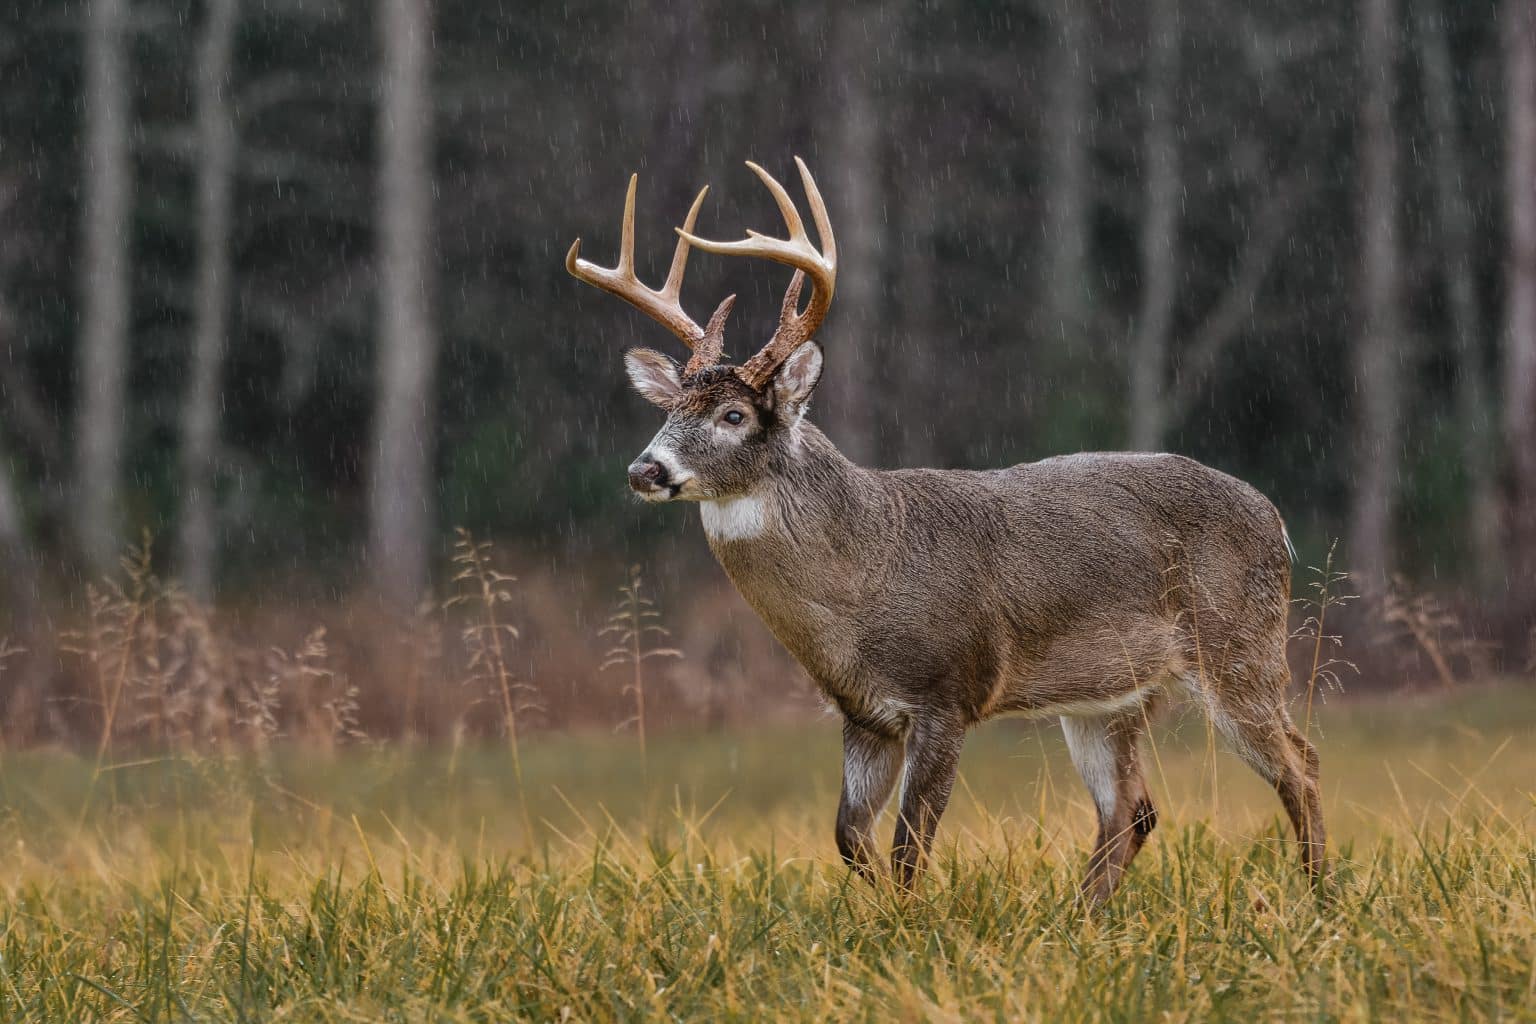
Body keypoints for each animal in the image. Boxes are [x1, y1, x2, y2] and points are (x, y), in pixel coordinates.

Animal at [571, 156, 1327, 902]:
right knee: (1132, 809)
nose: (645, 468)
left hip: (1239, 644)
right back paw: (1081, 917)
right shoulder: (863, 715)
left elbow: (910, 847)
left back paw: (1318, 897)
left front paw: (909, 922)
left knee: (1301, 763)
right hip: (1109, 696)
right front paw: (878, 914)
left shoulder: (948, 692)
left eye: (733, 416)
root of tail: (1274, 517)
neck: (863, 577)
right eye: (671, 410)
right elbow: (849, 838)